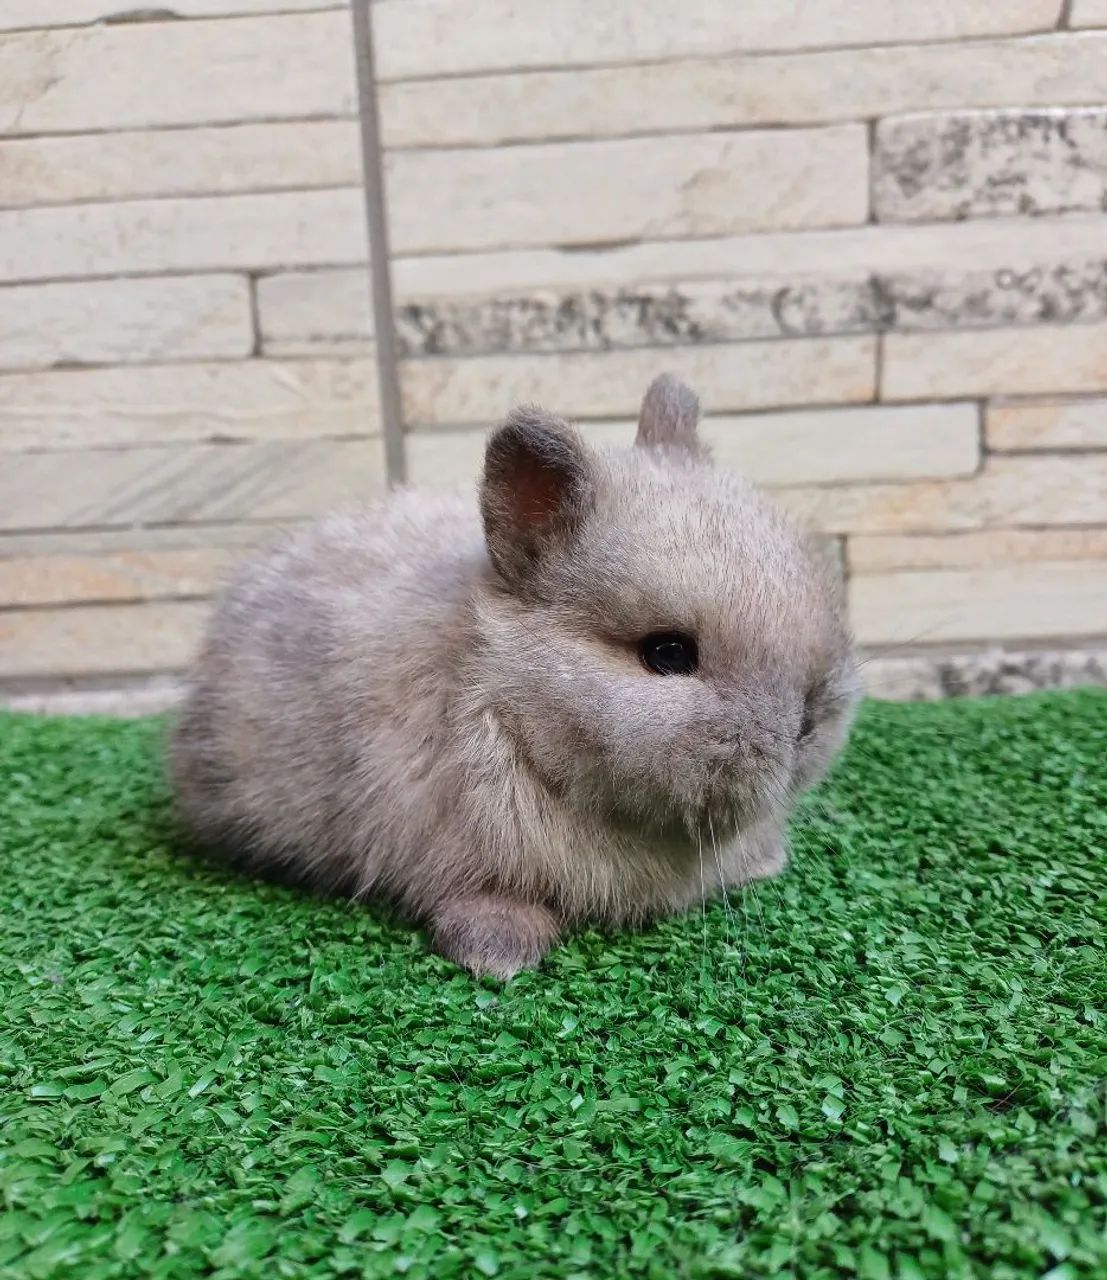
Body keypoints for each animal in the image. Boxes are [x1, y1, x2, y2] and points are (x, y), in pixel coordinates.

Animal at [169, 373, 860, 979]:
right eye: (667, 653)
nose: (806, 724)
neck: (511, 711)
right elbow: (478, 896)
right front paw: (499, 955)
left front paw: (764, 862)